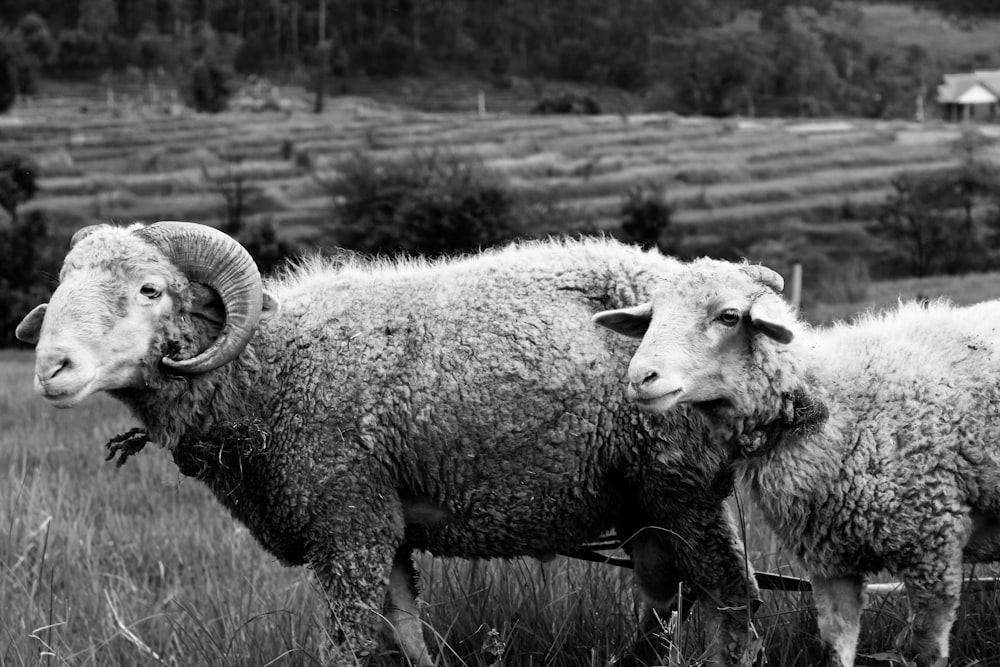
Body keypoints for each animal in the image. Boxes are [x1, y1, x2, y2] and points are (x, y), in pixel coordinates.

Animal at [19, 224, 760, 667]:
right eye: (60, 285)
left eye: (150, 289)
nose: (50, 367)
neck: (273, 369)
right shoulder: (383, 523)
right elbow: (405, 631)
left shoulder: (349, 519)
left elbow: (349, 641)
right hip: (644, 503)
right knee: (669, 602)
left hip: (683, 487)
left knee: (735, 599)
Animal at [592, 258, 1000, 664]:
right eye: (653, 316)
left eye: (729, 316)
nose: (640, 378)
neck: (832, 404)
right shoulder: (830, 562)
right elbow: (835, 647)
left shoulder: (933, 546)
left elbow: (923, 651)